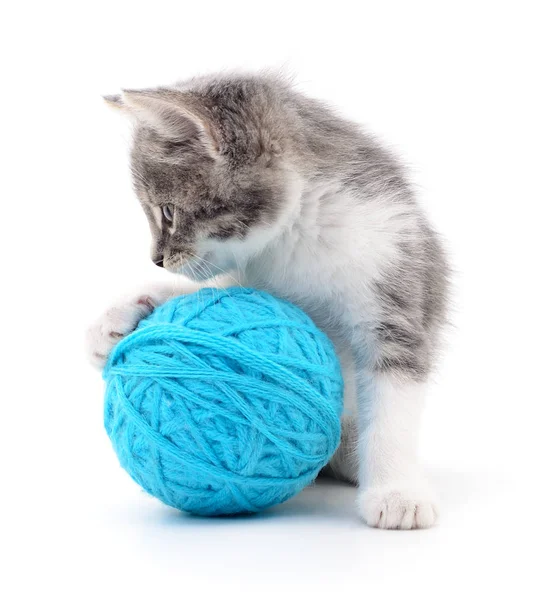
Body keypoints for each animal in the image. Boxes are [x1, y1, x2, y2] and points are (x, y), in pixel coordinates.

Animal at [88, 71, 448, 528]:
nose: (157, 260)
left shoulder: (394, 285)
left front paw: (396, 492)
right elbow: (214, 292)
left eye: (167, 212)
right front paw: (119, 317)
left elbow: (393, 400)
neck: (301, 230)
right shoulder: (254, 277)